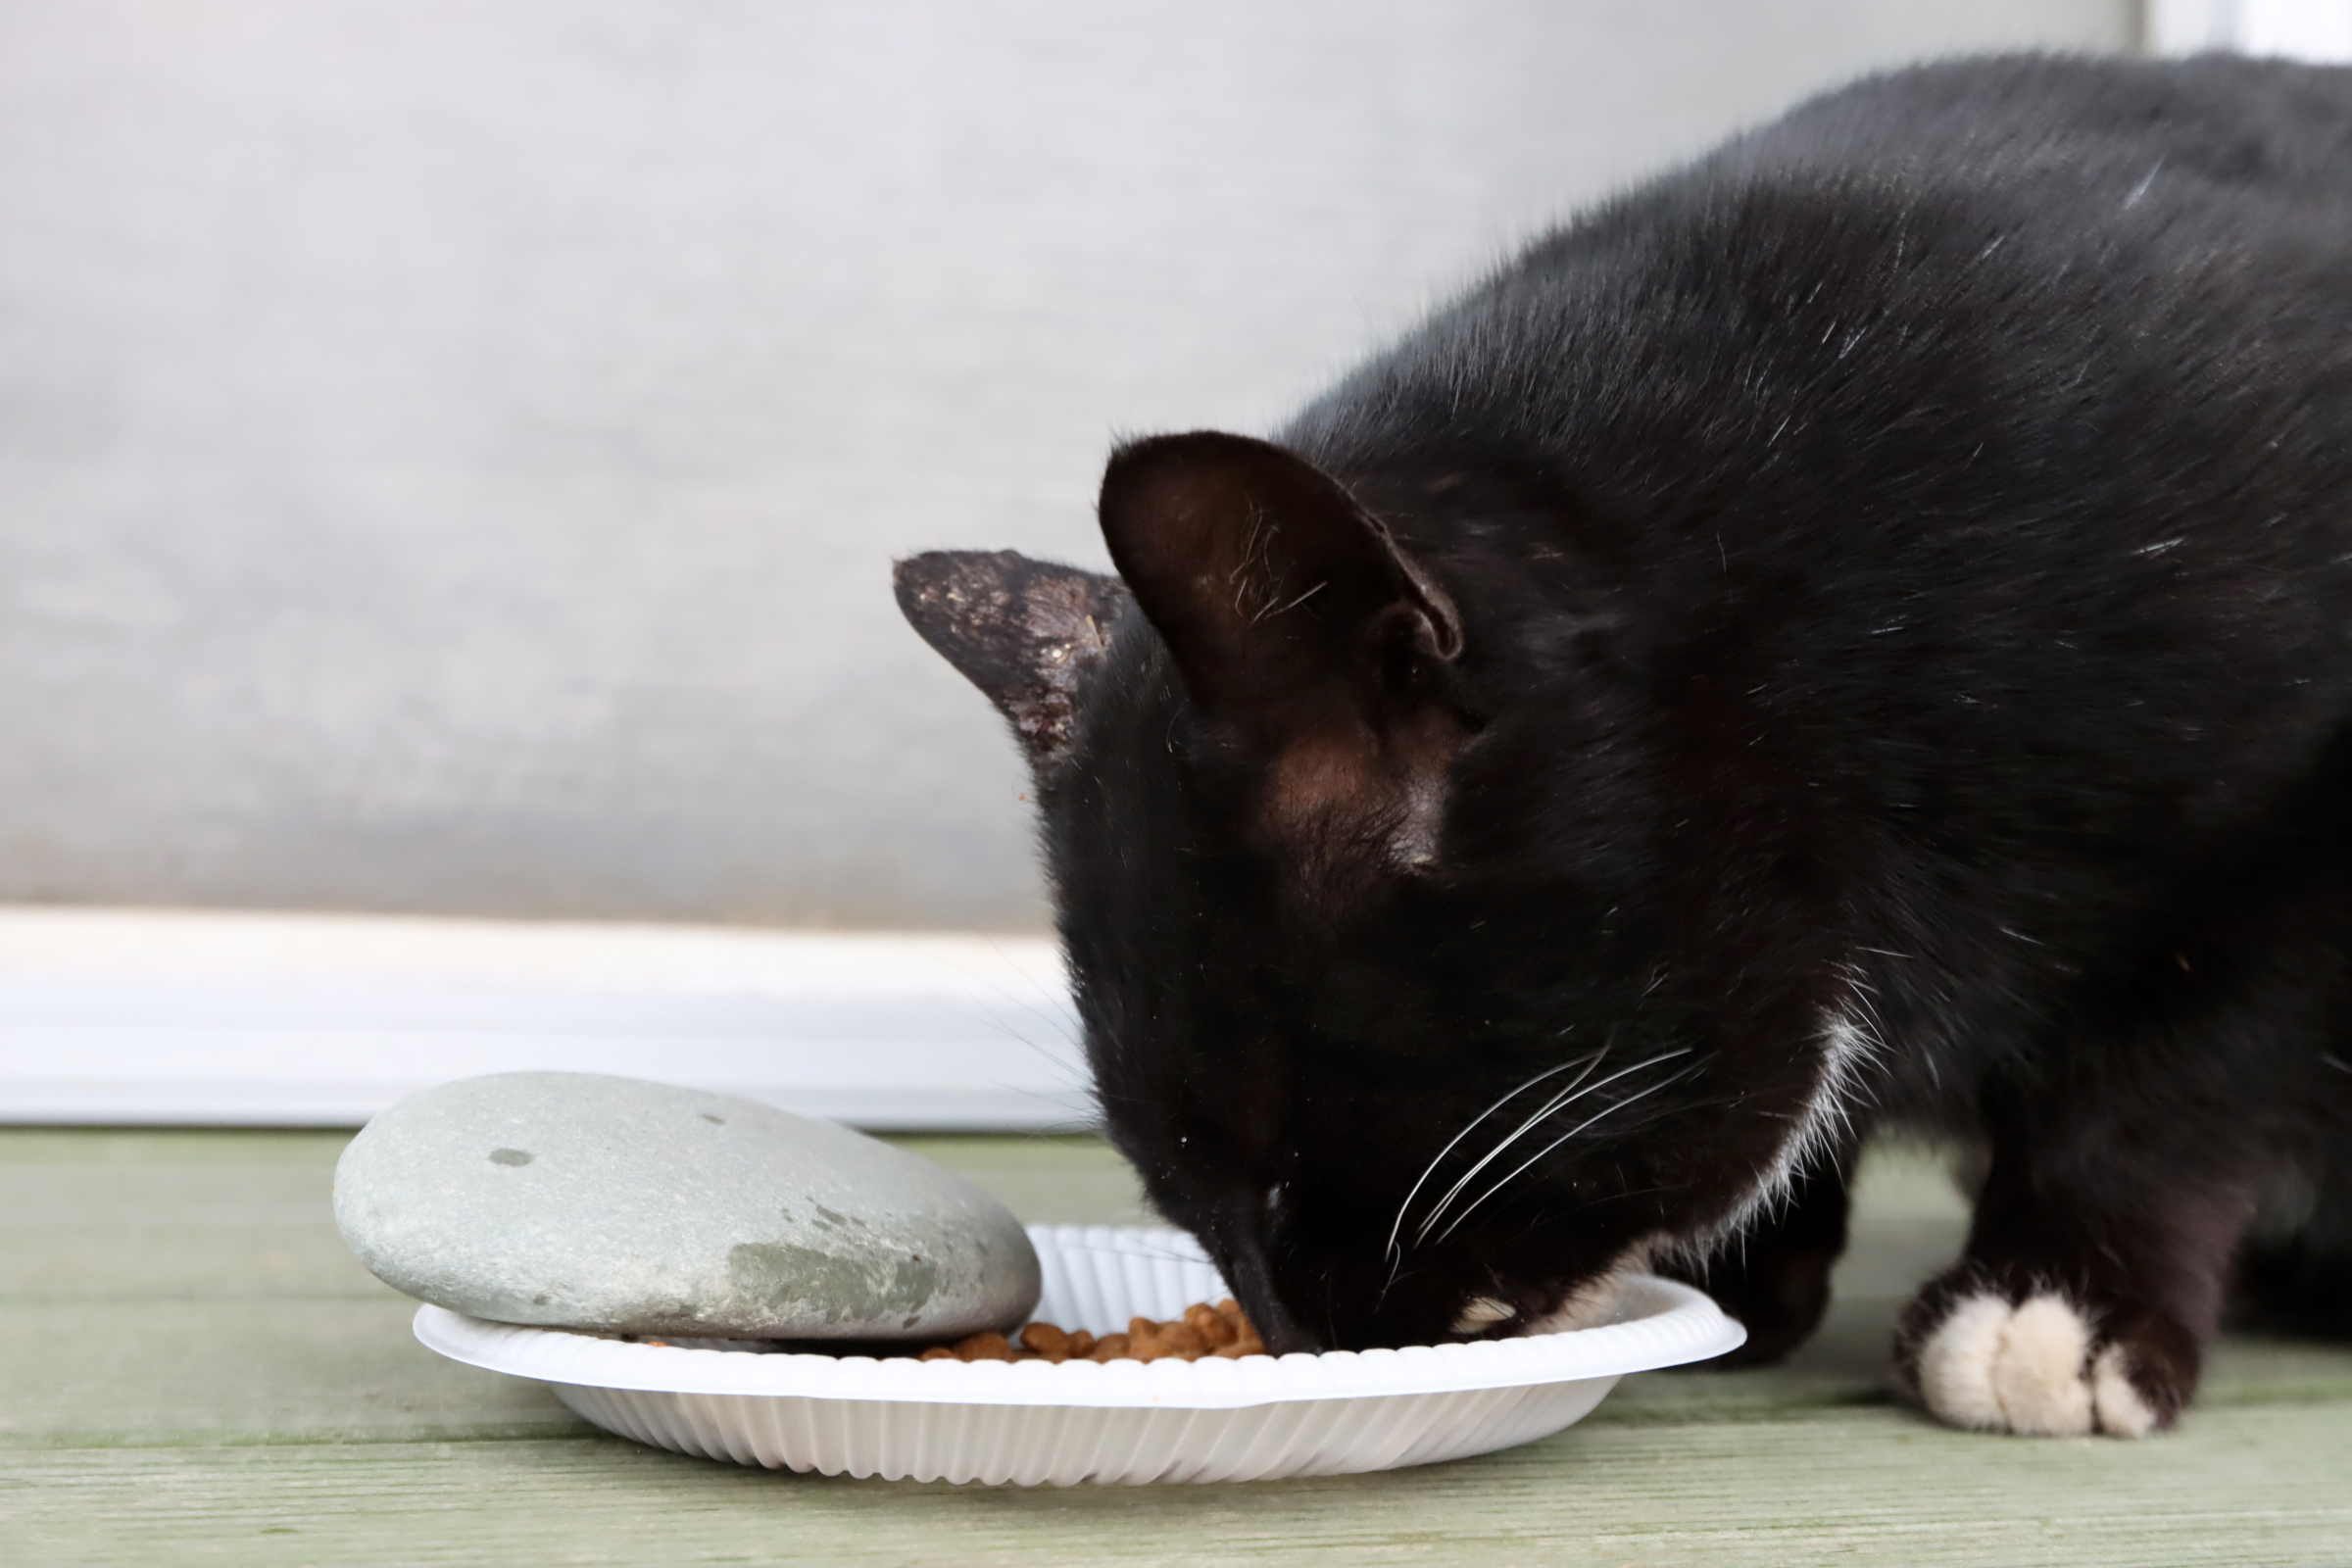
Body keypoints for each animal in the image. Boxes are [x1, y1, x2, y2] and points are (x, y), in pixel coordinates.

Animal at [894, 53, 2352, 1437]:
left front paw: (2060, 1303)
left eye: (1282, 1141)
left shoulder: (2287, 838)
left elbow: (2164, 1084)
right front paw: (1747, 1272)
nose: (1303, 1332)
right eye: (1170, 1179)